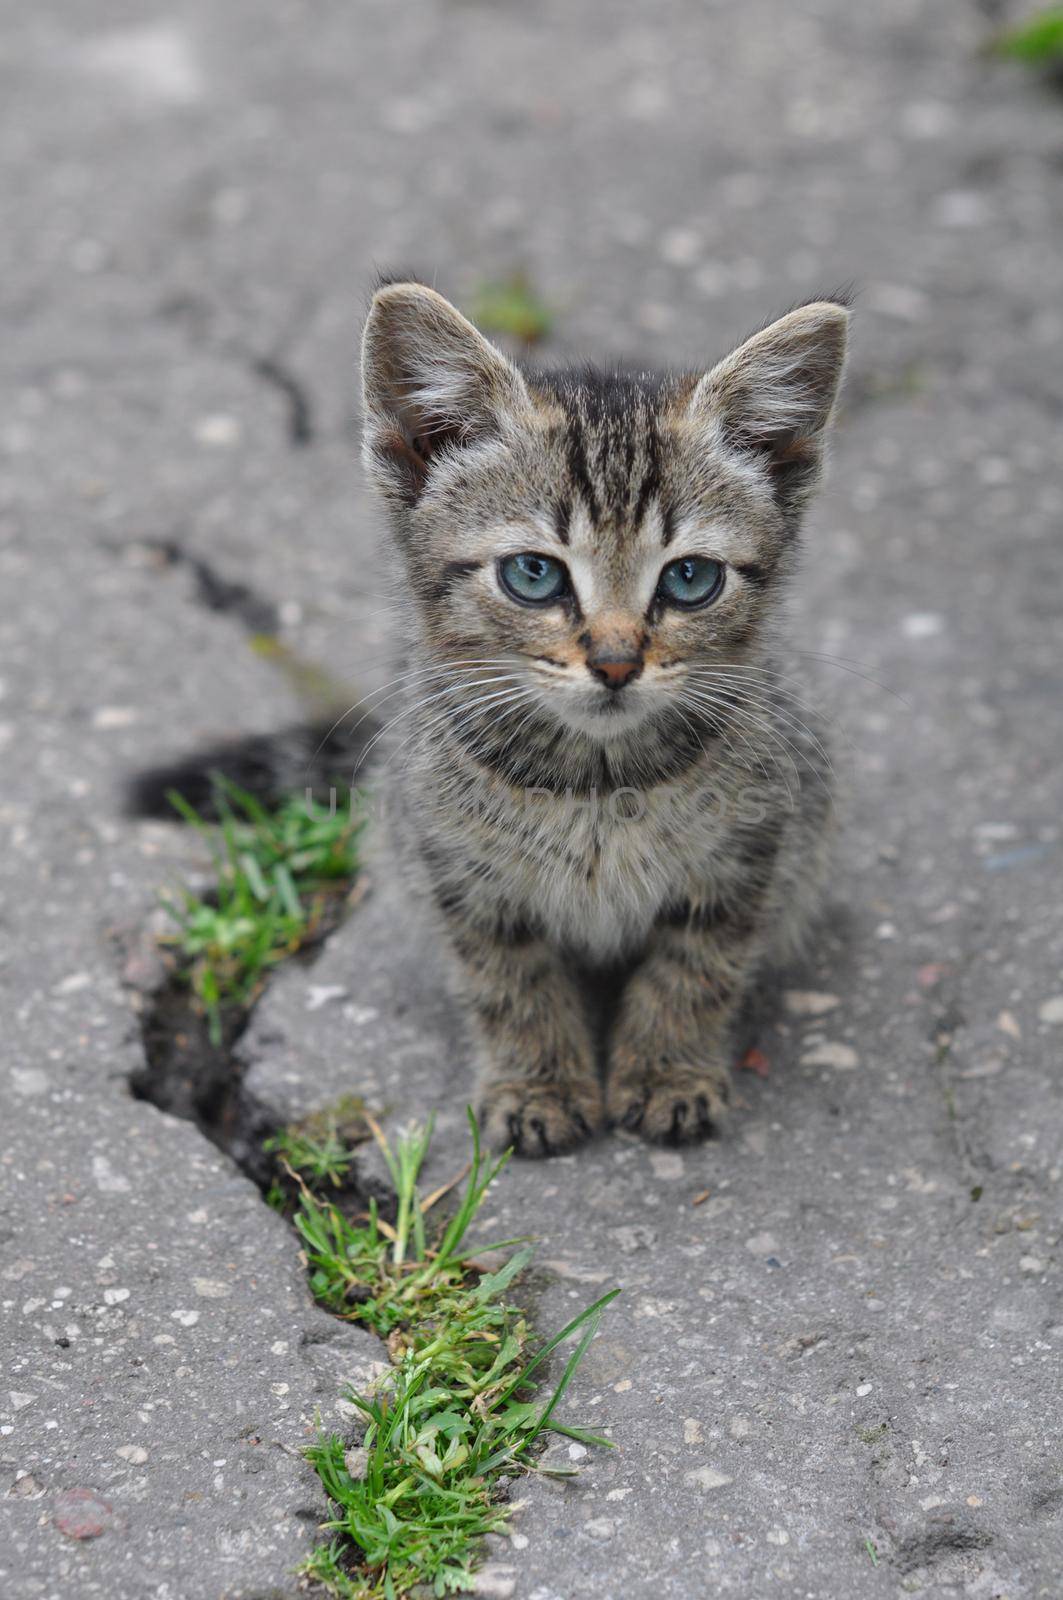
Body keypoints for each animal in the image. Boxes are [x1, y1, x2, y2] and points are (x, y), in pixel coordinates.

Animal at [361, 275, 851, 1152]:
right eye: (532, 575)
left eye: (689, 579)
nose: (617, 663)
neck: (595, 781)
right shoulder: (457, 871)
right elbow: (508, 982)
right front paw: (537, 1084)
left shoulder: (746, 855)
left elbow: (693, 971)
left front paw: (665, 1072)